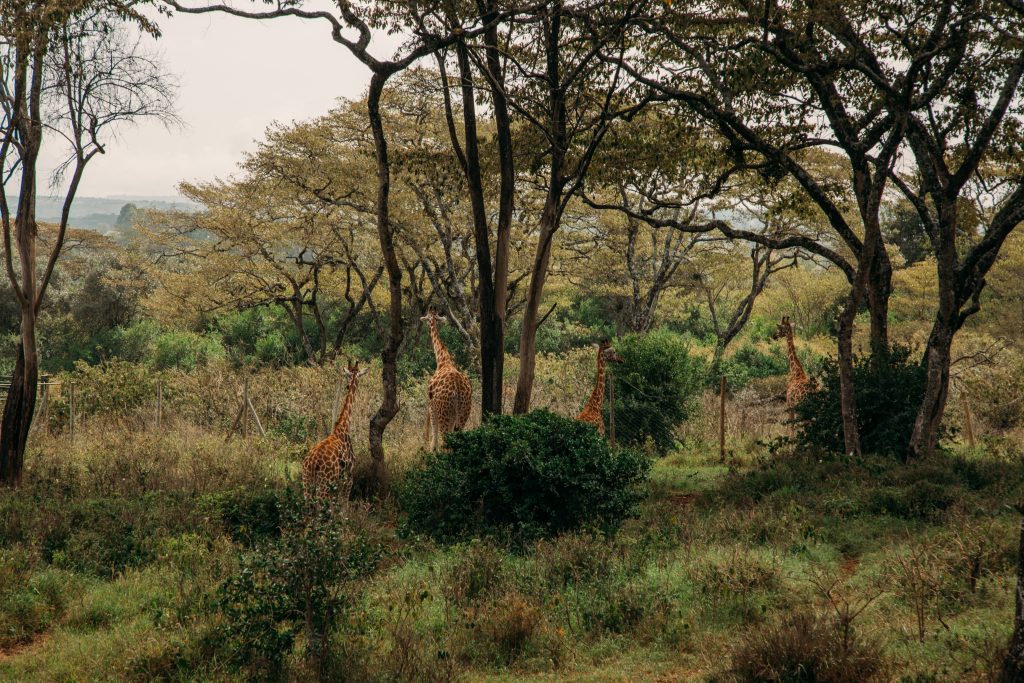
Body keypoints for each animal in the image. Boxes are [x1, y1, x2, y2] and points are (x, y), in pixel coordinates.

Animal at [299, 360, 368, 499]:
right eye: (359, 375)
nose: (348, 385)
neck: (343, 426)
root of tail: (312, 463)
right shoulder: (348, 478)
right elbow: (344, 504)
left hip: (307, 484)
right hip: (324, 485)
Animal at [419, 309, 471, 448]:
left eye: (426, 318)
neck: (443, 360)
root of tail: (457, 390)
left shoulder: (432, 406)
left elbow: (434, 439)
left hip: (445, 415)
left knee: (444, 442)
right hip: (463, 414)